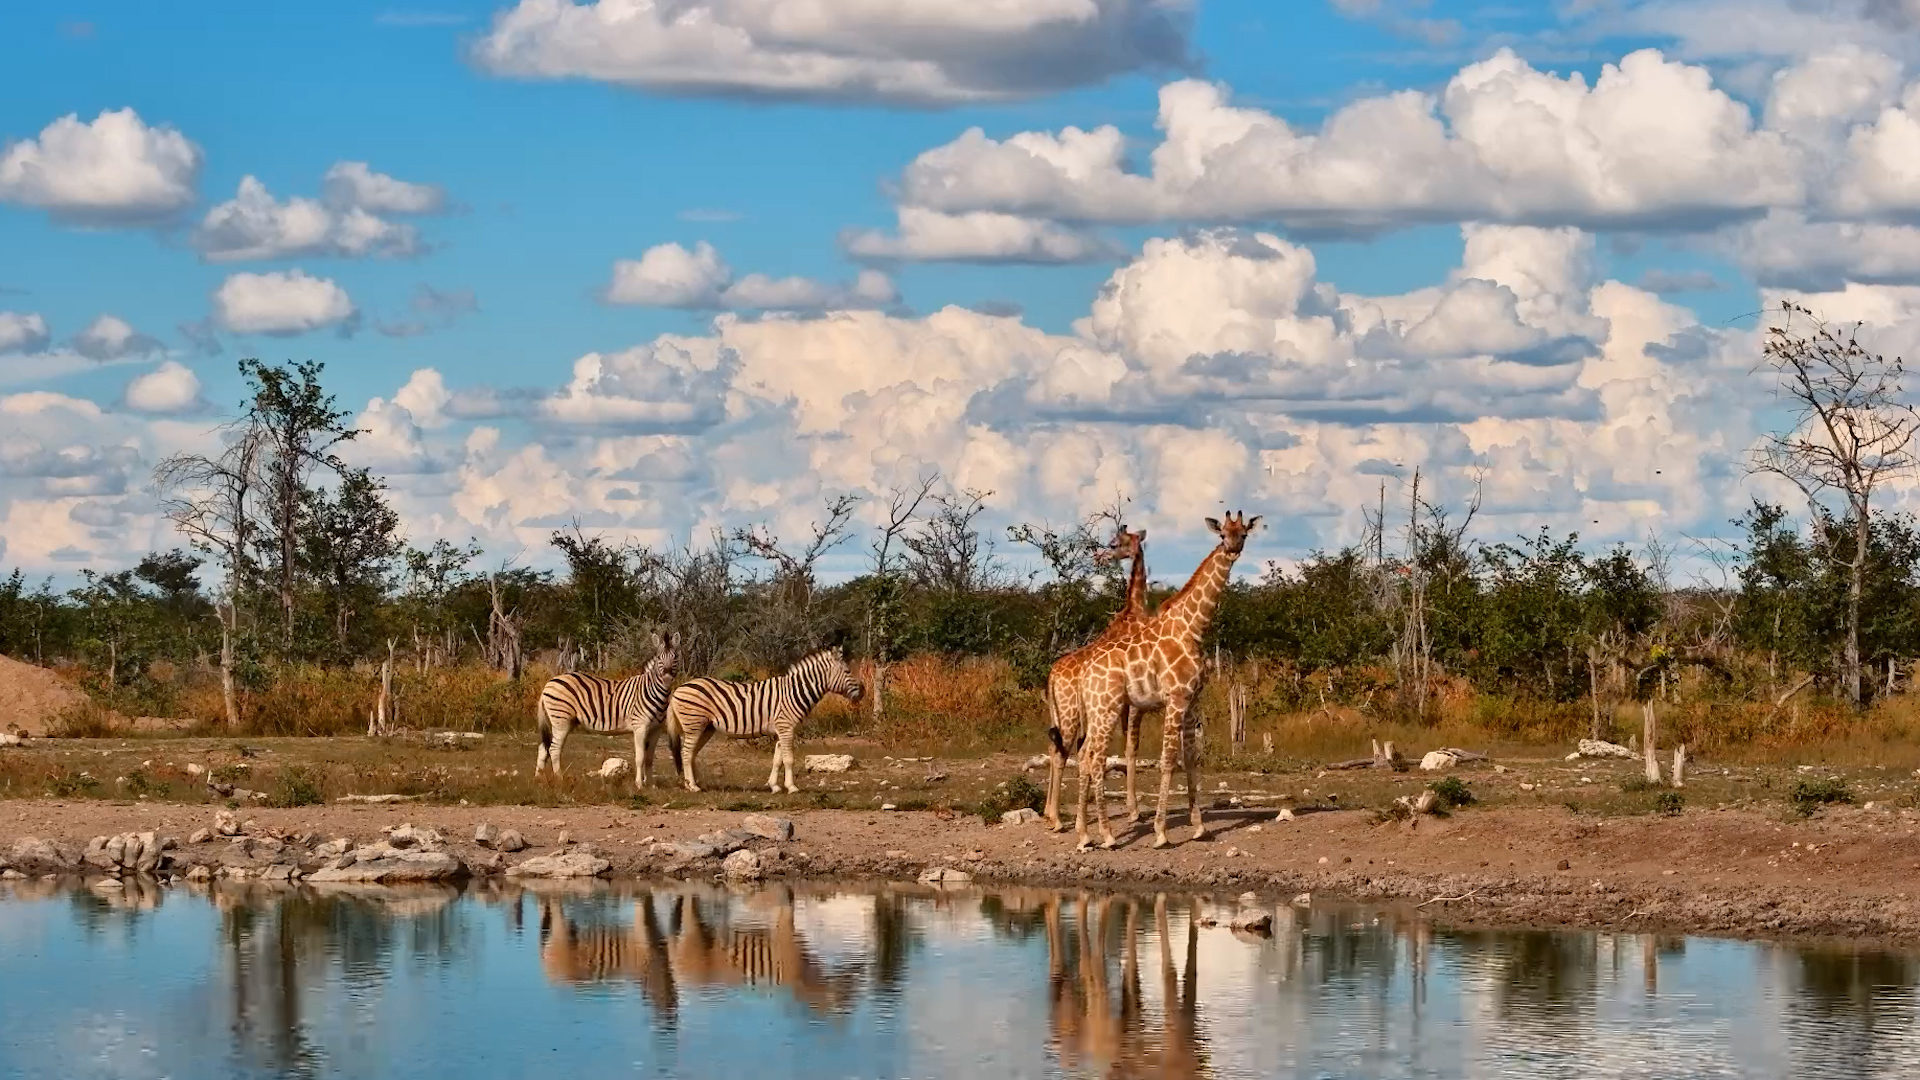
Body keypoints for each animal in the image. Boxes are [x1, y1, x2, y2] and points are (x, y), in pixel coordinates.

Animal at [1043, 527, 1151, 830]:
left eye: (1115, 543)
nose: (1101, 556)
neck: (1134, 608)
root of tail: (1051, 677)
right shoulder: (1135, 703)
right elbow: (1130, 749)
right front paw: (1134, 810)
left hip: (1064, 714)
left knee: (1058, 747)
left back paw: (1051, 813)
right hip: (1071, 714)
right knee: (1063, 752)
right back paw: (1056, 818)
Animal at [1072, 511, 1261, 850]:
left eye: (1243, 533)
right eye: (1222, 534)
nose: (1232, 549)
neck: (1193, 627)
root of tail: (1084, 672)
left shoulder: (1192, 700)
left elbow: (1191, 758)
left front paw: (1199, 827)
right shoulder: (1175, 698)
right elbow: (1168, 759)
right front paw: (1160, 832)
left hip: (1096, 711)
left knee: (1084, 756)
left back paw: (1083, 834)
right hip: (1108, 709)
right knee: (1095, 759)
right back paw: (1107, 835)